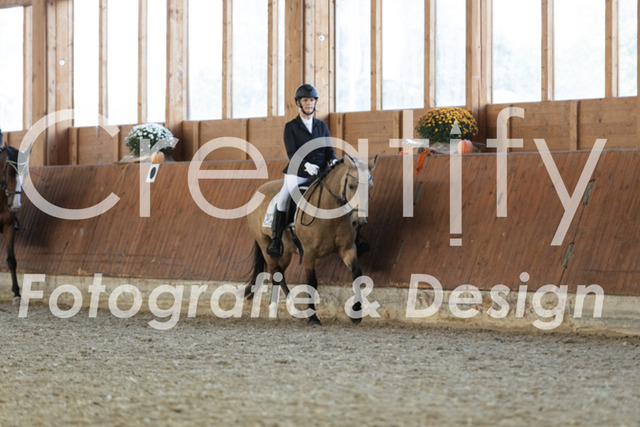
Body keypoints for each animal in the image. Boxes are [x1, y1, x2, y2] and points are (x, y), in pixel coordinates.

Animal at [246, 154, 377, 325]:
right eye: (351, 186)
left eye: (370, 188)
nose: (359, 222)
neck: (330, 213)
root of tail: (259, 190)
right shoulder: (309, 253)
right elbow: (312, 281)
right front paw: (313, 318)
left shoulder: (347, 249)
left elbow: (357, 274)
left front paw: (356, 313)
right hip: (265, 245)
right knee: (277, 272)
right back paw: (291, 308)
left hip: (285, 252)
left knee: (278, 274)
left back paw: (279, 311)